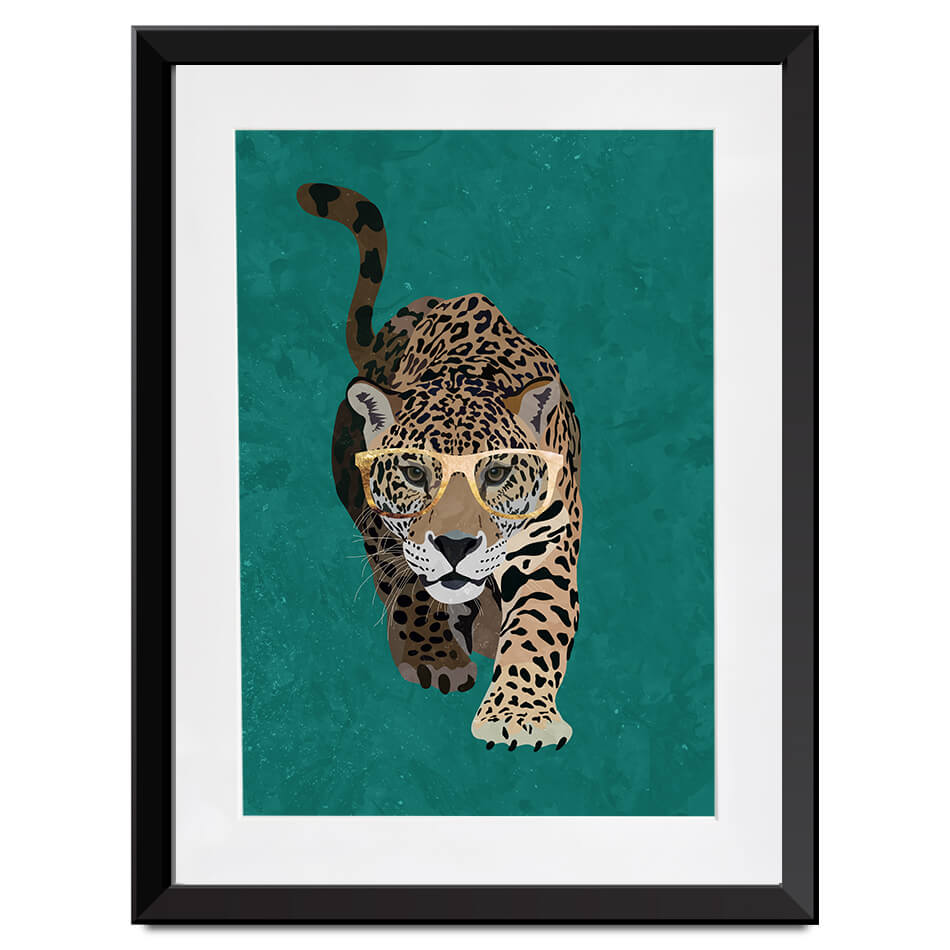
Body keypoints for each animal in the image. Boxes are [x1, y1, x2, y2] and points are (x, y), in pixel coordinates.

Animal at [297, 183, 582, 751]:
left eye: (495, 473)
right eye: (414, 473)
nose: (455, 546)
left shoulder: (548, 544)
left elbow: (538, 626)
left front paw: (519, 716)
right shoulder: (385, 528)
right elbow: (410, 587)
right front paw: (436, 657)